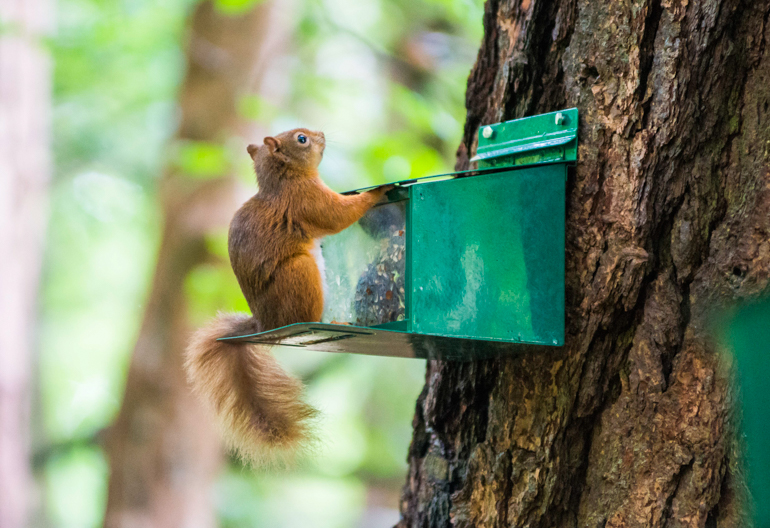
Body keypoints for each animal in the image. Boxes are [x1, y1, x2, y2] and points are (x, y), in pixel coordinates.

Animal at [184, 128, 391, 465]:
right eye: (301, 139)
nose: (322, 134)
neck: (283, 178)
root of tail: (265, 323)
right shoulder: (305, 199)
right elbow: (337, 215)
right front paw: (375, 193)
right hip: (300, 274)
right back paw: (331, 321)